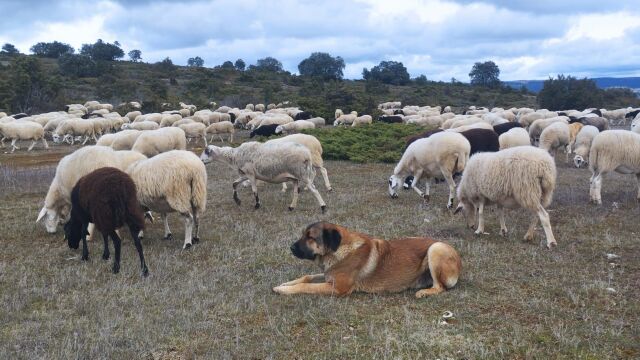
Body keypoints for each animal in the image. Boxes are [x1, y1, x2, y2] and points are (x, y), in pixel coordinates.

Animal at [200, 141, 328, 214]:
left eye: (206, 152)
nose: (200, 161)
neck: (234, 156)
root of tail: (307, 153)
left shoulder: (250, 174)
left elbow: (254, 190)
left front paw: (257, 205)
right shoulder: (245, 174)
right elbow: (234, 183)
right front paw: (237, 200)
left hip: (302, 173)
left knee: (314, 190)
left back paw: (323, 207)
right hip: (295, 177)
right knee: (296, 193)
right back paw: (291, 207)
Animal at [272, 222, 462, 298]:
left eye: (310, 237)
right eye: (303, 235)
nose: (291, 248)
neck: (338, 250)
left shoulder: (338, 288)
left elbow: (306, 286)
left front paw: (284, 290)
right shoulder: (329, 275)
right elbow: (307, 277)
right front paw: (285, 284)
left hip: (435, 248)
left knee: (440, 287)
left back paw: (424, 293)